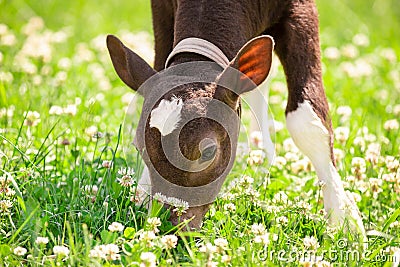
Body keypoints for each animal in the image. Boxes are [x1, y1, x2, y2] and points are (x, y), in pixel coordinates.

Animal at [105, 0, 366, 234]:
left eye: (208, 152)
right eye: (139, 148)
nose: (170, 227)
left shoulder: (301, 9)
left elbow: (306, 121)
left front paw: (344, 219)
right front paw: (143, 191)